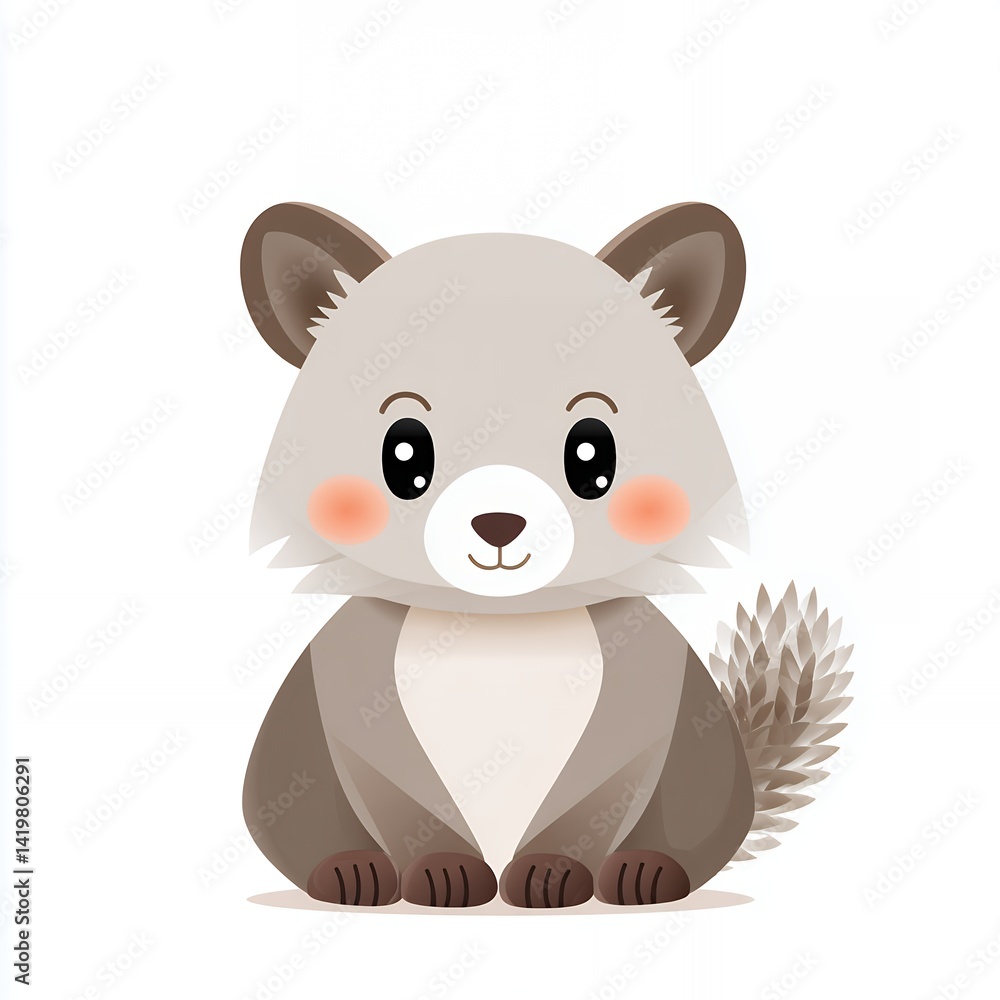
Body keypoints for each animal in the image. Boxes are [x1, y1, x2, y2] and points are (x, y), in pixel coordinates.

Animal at [239, 201, 852, 908]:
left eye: (592, 452)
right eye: (404, 452)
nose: (498, 523)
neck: (501, 628)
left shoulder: (646, 692)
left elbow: (598, 791)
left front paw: (552, 873)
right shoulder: (353, 695)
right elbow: (400, 791)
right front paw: (442, 872)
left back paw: (646, 869)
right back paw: (350, 870)